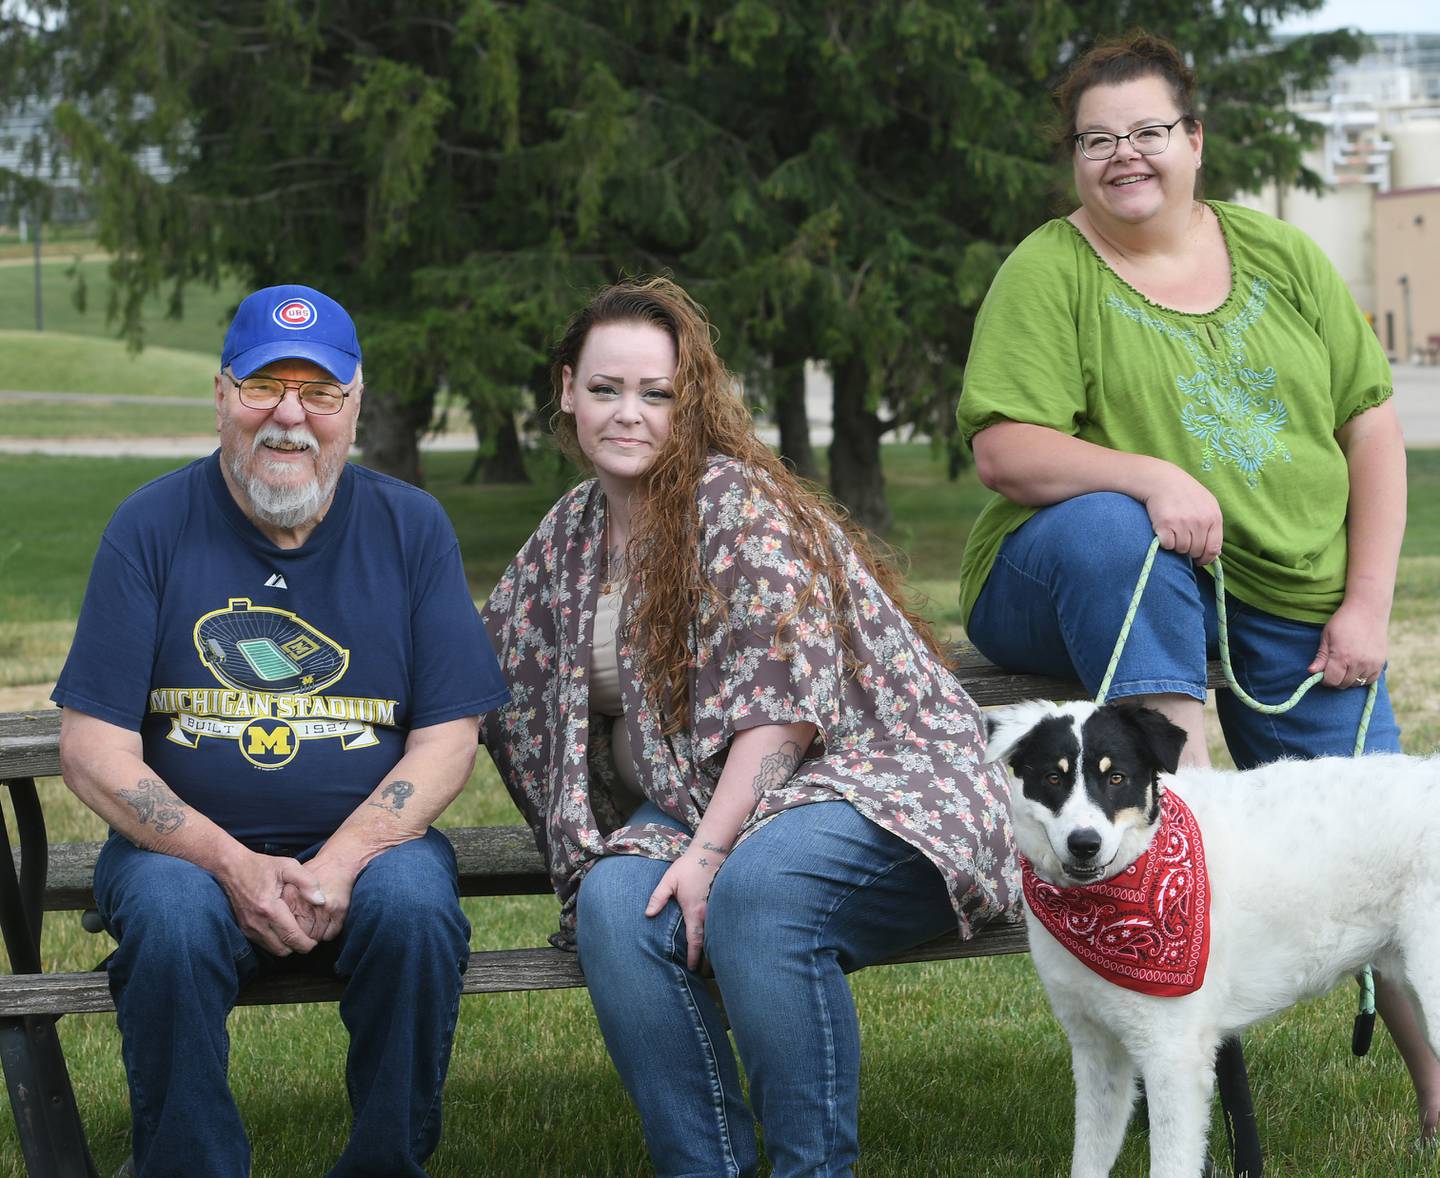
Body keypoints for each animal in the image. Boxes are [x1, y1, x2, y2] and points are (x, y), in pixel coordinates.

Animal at [990, 697, 1440, 1175]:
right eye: (1052, 778)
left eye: (1116, 778)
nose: (1084, 844)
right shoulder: (1097, 1048)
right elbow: (1089, 1160)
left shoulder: (1173, 1057)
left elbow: (1170, 1163)